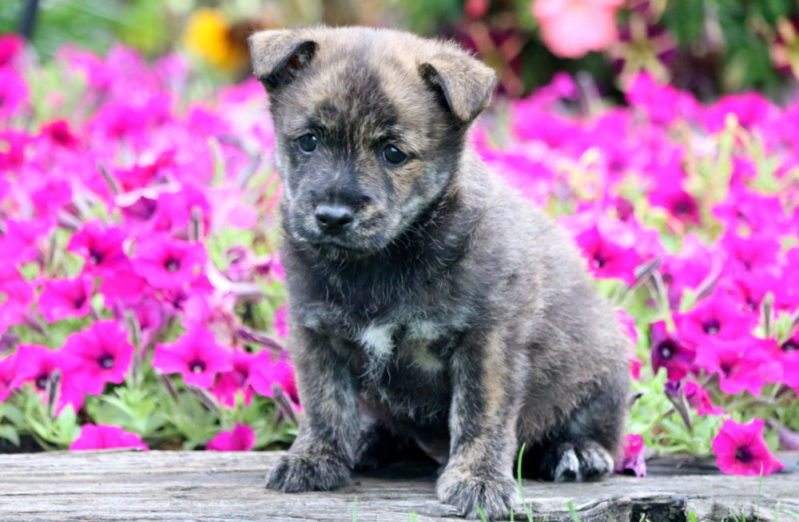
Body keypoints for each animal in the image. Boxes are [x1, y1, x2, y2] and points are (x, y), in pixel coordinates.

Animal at [250, 27, 632, 516]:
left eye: (394, 153)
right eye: (309, 141)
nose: (333, 216)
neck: (380, 262)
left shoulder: (486, 340)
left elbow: (479, 415)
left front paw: (478, 480)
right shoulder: (317, 332)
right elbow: (324, 402)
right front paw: (315, 457)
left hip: (603, 368)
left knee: (598, 429)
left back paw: (576, 451)